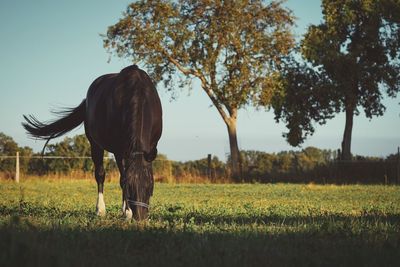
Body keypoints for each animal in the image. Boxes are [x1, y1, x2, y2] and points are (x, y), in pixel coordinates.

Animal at [21, 66, 162, 221]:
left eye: (150, 186)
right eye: (130, 188)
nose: (140, 218)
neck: (137, 93)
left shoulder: (150, 147)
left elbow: (124, 176)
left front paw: (126, 211)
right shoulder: (120, 149)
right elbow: (122, 178)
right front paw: (127, 212)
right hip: (95, 144)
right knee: (100, 174)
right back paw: (100, 209)